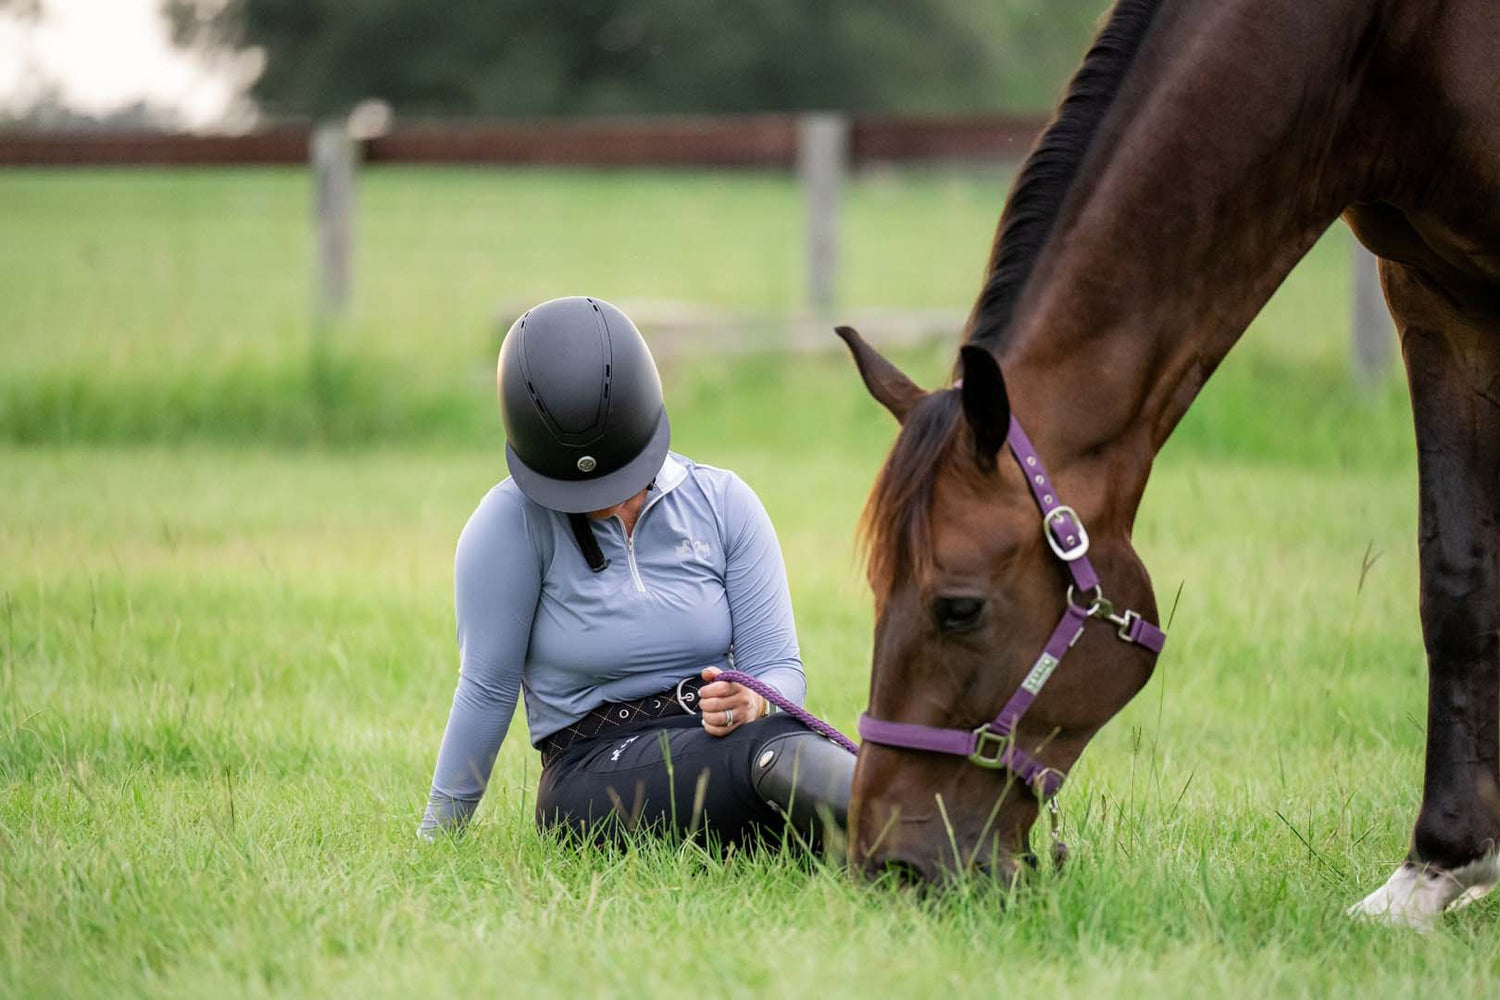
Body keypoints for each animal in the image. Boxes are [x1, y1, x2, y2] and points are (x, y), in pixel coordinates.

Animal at [840, 0, 1500, 929]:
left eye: (958, 608)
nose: (889, 865)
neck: (1382, 45)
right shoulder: (1434, 296)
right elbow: (1457, 583)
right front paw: (1436, 870)